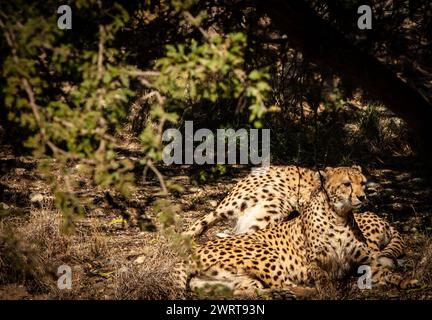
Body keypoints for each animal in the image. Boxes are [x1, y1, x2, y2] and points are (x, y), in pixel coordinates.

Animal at [178, 168, 416, 298]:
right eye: (347, 184)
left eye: (363, 184)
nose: (363, 197)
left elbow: (382, 270)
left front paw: (406, 281)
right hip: (263, 250)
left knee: (257, 289)